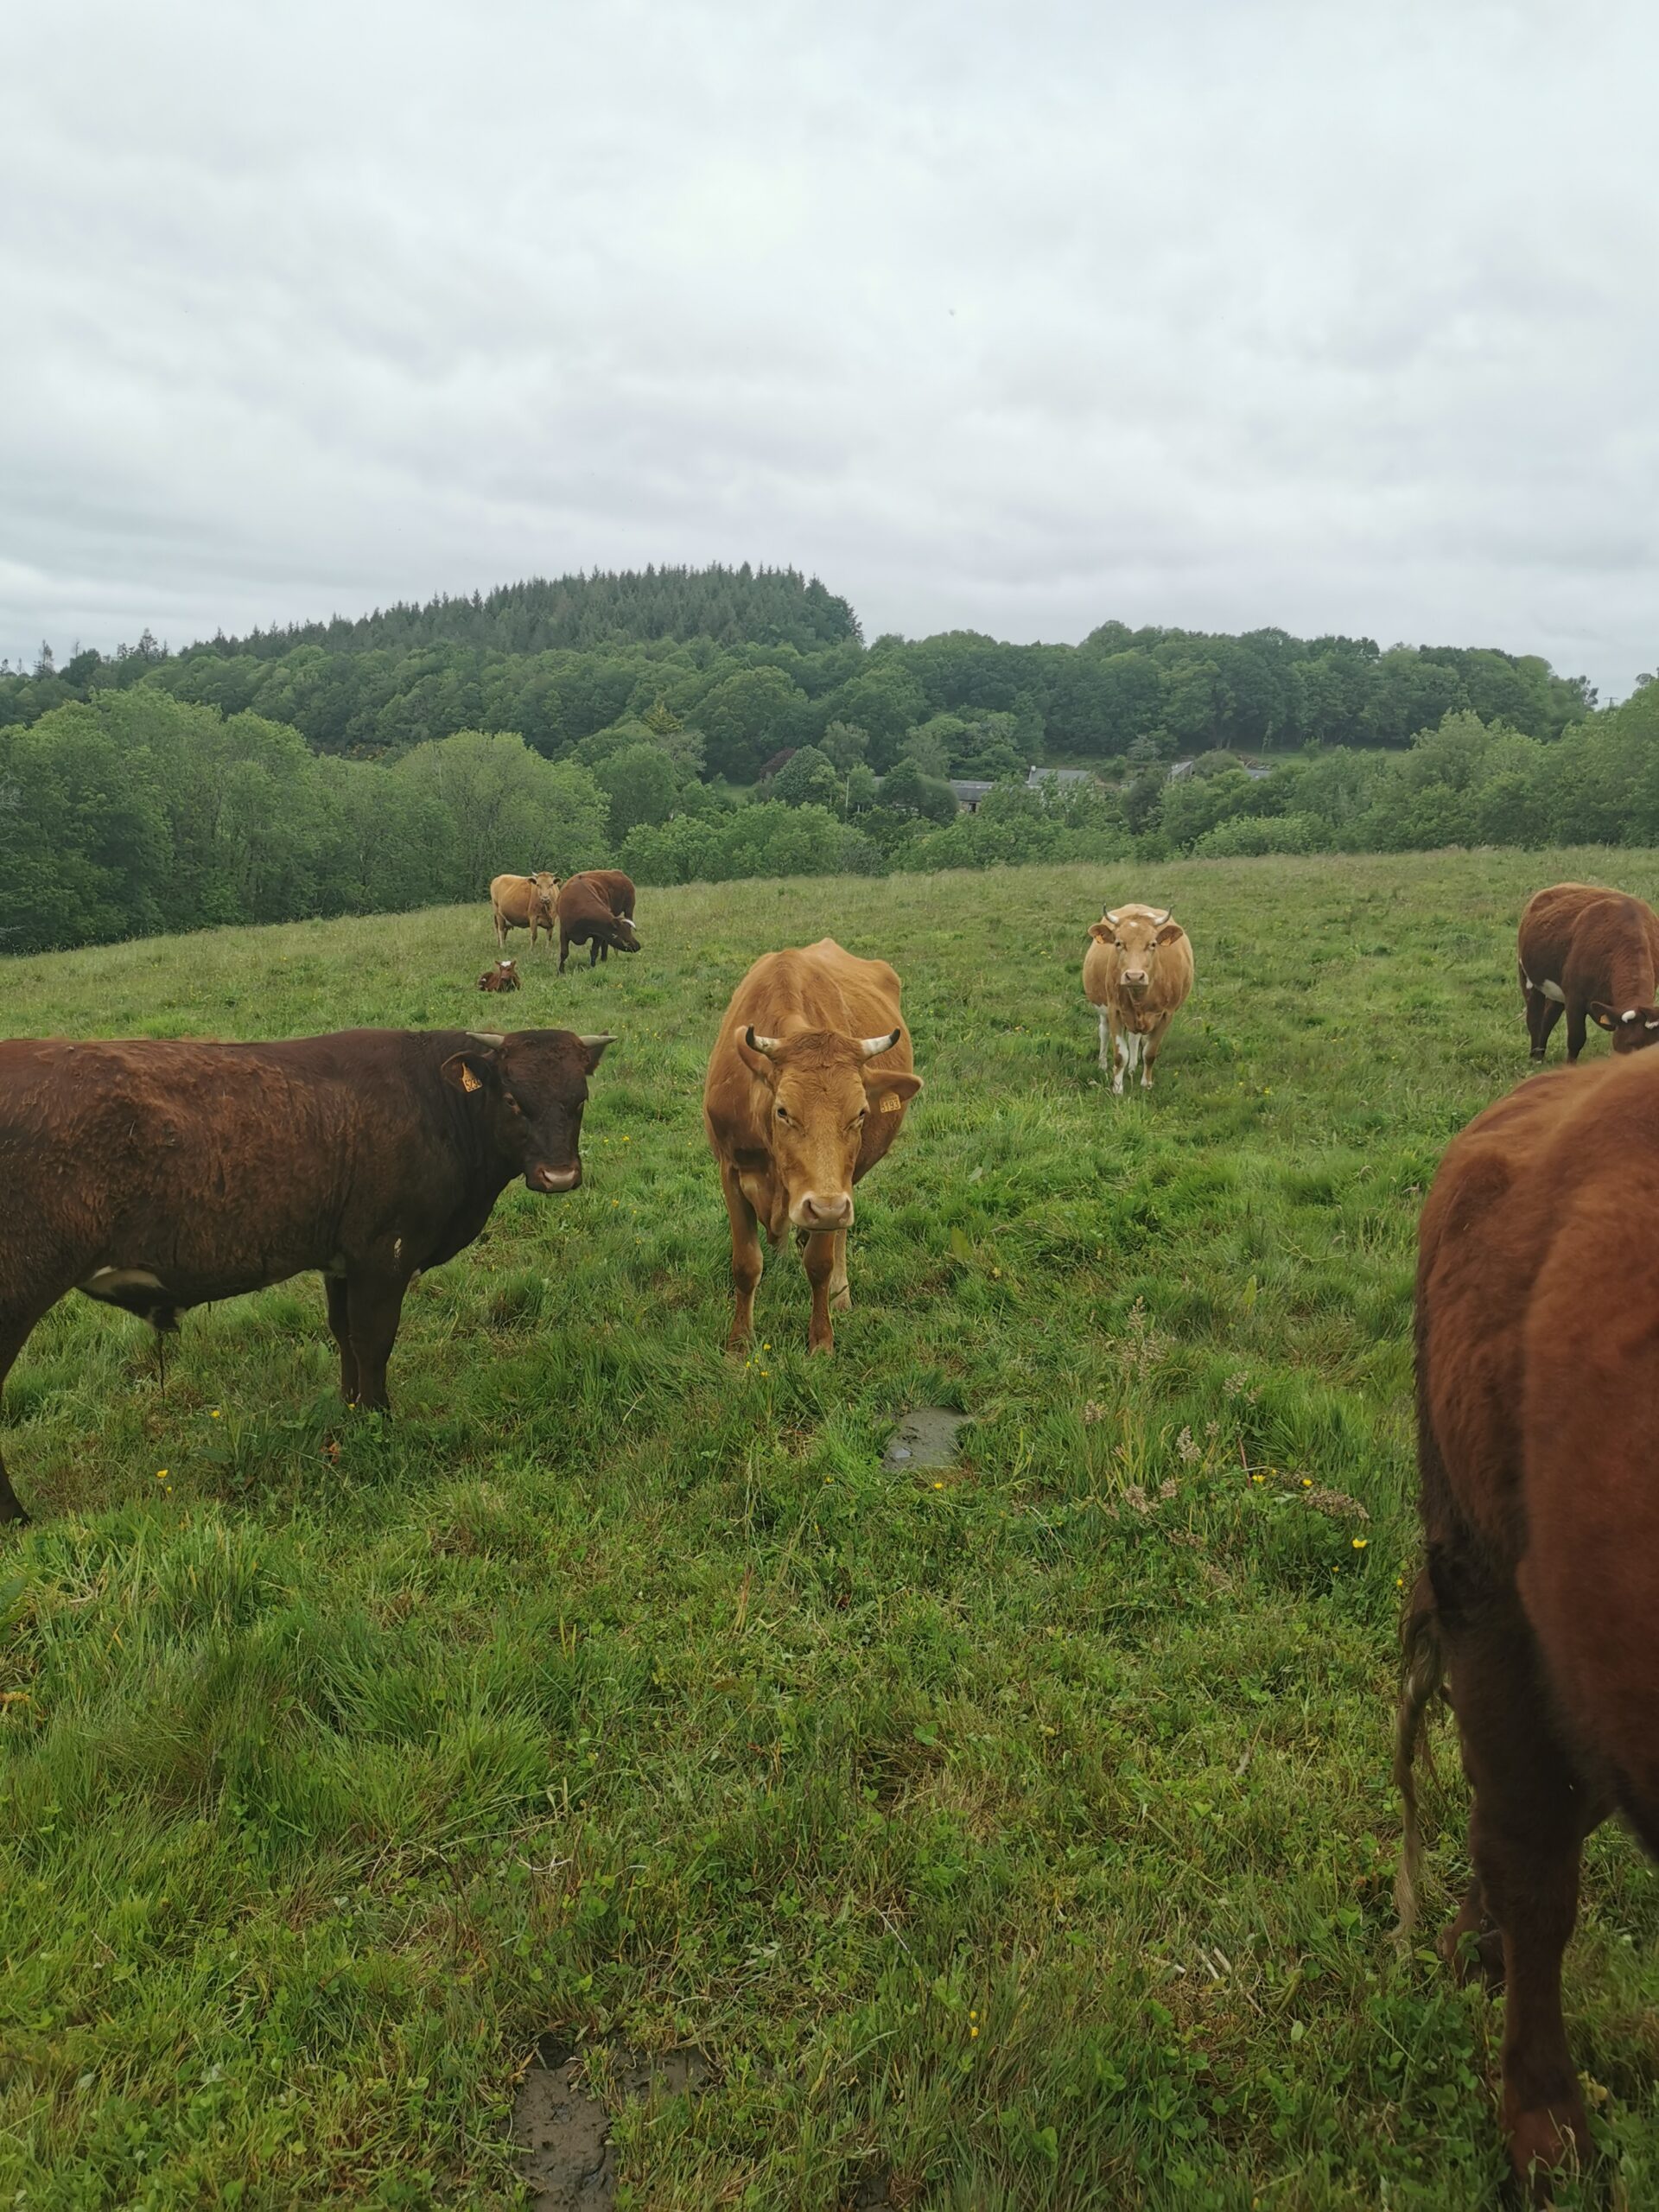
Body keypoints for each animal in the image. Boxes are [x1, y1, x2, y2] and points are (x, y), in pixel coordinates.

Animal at [0, 1026, 614, 1530]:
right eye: (513, 1100)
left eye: (579, 1100)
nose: (559, 1176)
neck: (435, 1105)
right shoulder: (383, 1256)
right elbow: (374, 1341)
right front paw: (379, 1421)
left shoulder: (342, 1260)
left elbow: (344, 1335)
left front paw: (350, 1410)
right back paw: (17, 1519)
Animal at [703, 942, 929, 1353]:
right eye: (783, 1111)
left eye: (861, 1113)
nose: (826, 1209)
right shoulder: (730, 1170)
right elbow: (746, 1264)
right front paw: (740, 1342)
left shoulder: (836, 1191)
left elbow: (819, 1263)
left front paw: (821, 1340)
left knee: (838, 1239)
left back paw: (840, 1292)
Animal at [1084, 902, 1203, 1092]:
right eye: (1118, 943)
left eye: (1153, 944)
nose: (1134, 976)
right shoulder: (1114, 1010)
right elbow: (1120, 1055)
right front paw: (1117, 1088)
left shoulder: (1166, 1015)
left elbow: (1149, 1052)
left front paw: (1146, 1083)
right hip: (1103, 1008)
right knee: (1104, 1031)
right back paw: (1102, 1064)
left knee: (1134, 1038)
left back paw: (1132, 1067)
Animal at [1522, 871, 1659, 1061]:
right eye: (1630, 1044)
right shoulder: (1575, 997)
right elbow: (1576, 1039)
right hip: (1528, 977)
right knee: (1534, 1018)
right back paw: (1535, 1058)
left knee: (1549, 1016)